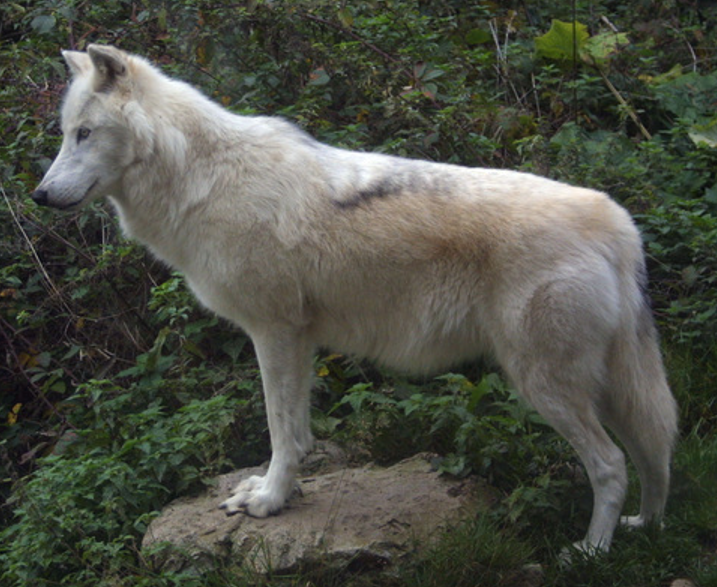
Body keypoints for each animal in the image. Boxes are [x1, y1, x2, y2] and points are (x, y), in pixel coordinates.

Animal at [30, 44, 676, 552]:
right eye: (64, 134)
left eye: (84, 133)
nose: (38, 195)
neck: (201, 178)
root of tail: (617, 222)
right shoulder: (298, 341)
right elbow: (299, 434)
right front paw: (279, 493)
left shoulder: (275, 333)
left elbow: (280, 432)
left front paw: (268, 501)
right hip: (606, 386)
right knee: (654, 451)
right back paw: (646, 526)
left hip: (545, 384)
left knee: (612, 465)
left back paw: (590, 553)